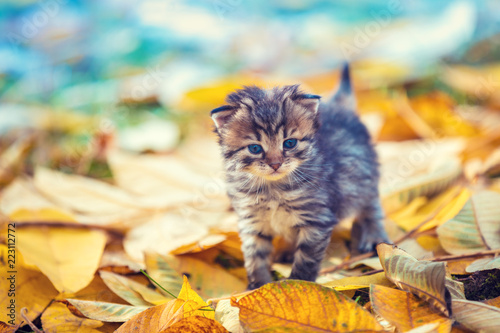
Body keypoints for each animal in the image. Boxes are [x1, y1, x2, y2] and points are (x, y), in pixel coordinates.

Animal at [209, 64, 388, 288]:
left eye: (289, 143)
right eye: (255, 148)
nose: (275, 164)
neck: (273, 188)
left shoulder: (316, 218)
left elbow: (306, 258)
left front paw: (299, 284)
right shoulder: (251, 220)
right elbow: (254, 256)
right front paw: (258, 286)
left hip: (365, 177)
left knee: (371, 206)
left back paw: (374, 236)